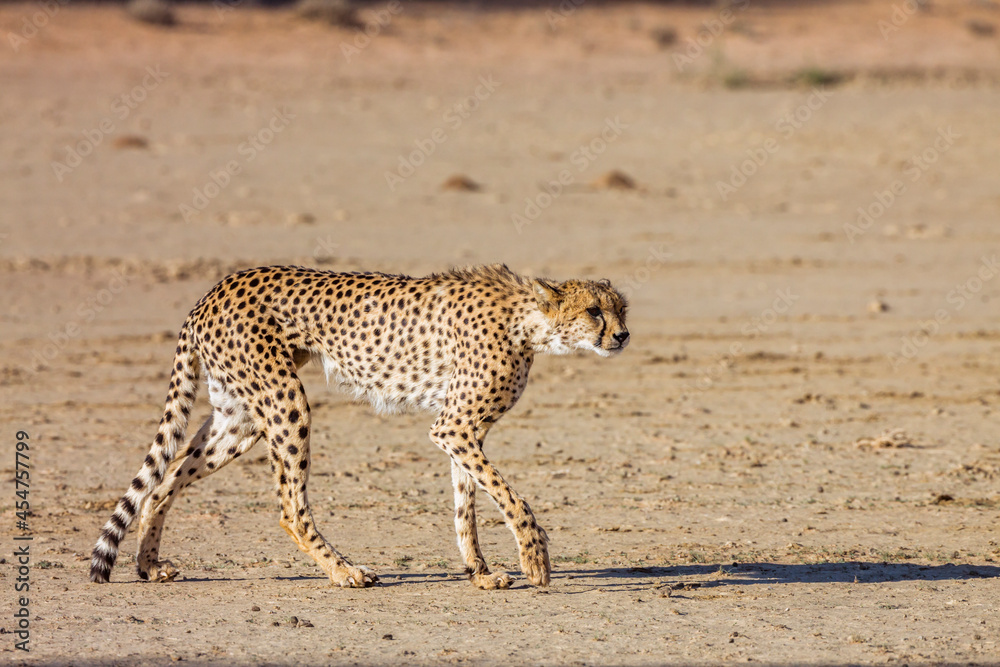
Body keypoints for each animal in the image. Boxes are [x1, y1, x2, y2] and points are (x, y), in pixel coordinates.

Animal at [90, 263, 629, 590]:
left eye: (621, 309)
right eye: (593, 311)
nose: (623, 336)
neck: (529, 322)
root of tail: (215, 289)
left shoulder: (461, 431)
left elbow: (467, 504)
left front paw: (480, 573)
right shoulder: (453, 427)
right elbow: (507, 495)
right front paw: (535, 557)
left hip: (239, 417)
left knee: (164, 481)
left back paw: (148, 564)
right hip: (285, 402)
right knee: (290, 507)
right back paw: (345, 572)